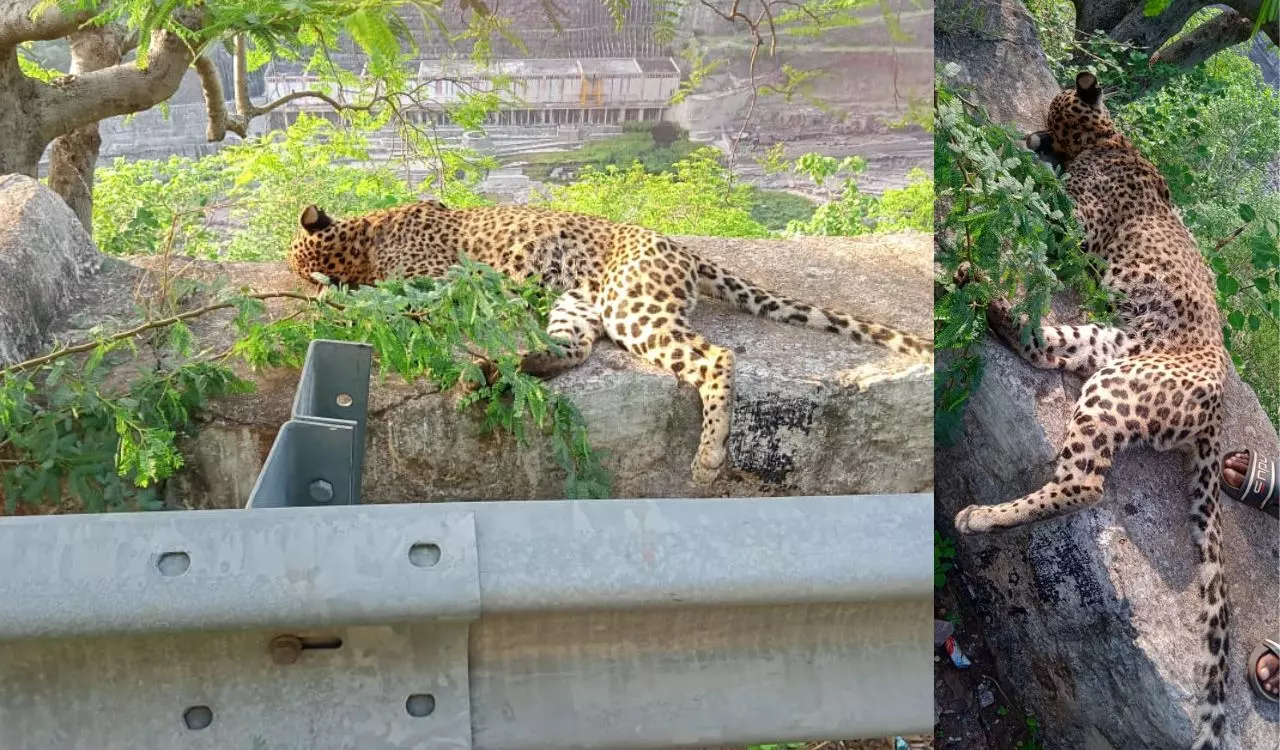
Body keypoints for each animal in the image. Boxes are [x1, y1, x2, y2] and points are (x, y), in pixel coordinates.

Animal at [287, 200, 932, 485]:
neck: (361, 242)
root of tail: (683, 248)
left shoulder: (434, 279)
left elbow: (399, 298)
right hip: (577, 306)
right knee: (573, 351)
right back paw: (503, 366)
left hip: (633, 308)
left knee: (714, 358)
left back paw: (709, 457)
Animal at [951, 71, 1232, 750]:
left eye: (1055, 115)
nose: (1040, 135)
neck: (1107, 139)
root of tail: (1219, 413)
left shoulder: (1076, 229)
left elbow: (1044, 199)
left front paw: (1016, 157)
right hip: (1100, 342)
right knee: (1039, 344)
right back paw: (977, 283)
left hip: (1113, 385)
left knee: (1083, 484)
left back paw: (980, 517)